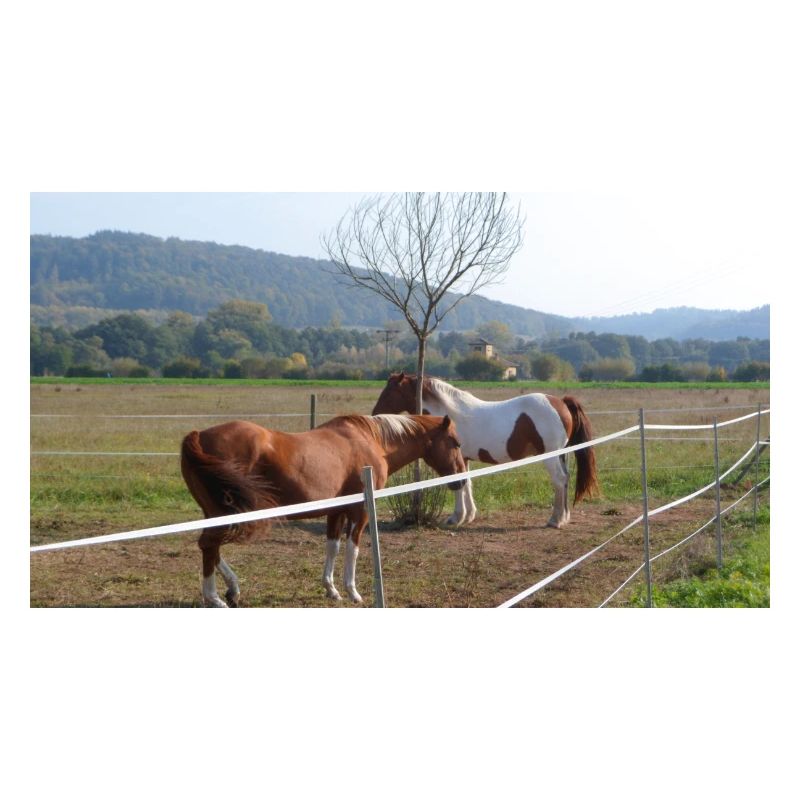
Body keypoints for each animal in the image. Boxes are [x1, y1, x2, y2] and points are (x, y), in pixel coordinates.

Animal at [180, 413, 466, 607]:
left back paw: (232, 589)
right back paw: (215, 598)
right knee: (209, 545)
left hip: (214, 513)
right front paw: (353, 592)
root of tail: (198, 435)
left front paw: (332, 589)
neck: (370, 440)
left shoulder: (336, 511)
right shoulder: (360, 511)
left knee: (211, 548)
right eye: (455, 442)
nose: (461, 480)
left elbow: (333, 547)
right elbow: (352, 548)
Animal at [372, 372, 599, 529]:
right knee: (566, 479)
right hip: (561, 455)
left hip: (550, 455)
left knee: (559, 480)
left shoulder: (456, 458)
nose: (374, 414)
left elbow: (458, 484)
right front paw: (469, 515)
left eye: (390, 391)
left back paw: (555, 520)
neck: (450, 416)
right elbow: (467, 483)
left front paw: (456, 517)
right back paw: (564, 517)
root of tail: (561, 402)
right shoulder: (463, 458)